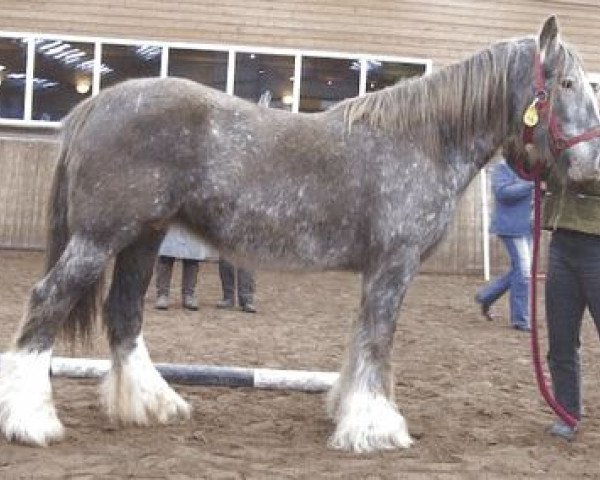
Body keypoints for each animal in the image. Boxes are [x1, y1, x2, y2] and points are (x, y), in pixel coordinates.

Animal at [1, 14, 600, 450]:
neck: (424, 139)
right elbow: (378, 340)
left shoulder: (378, 270)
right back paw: (31, 422)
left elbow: (362, 339)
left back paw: (153, 405)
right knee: (48, 301)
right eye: (568, 82)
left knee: (124, 313)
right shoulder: (394, 265)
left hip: (142, 238)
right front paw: (376, 428)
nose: (589, 167)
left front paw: (349, 412)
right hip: (100, 239)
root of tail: (97, 102)